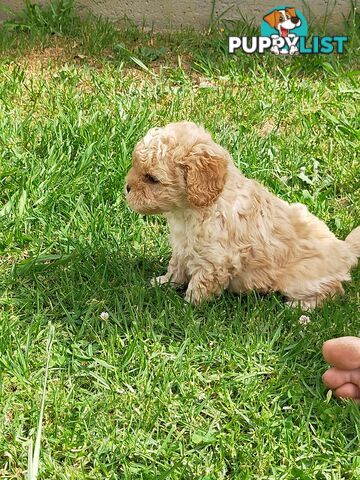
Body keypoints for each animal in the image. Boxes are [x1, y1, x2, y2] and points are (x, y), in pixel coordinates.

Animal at [125, 120, 358, 308]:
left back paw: (300, 308)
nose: (126, 187)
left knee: (334, 289)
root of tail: (345, 249)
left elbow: (200, 285)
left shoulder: (215, 260)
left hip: (300, 278)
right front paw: (163, 283)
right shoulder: (183, 247)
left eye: (152, 179)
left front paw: (187, 308)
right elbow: (176, 267)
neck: (190, 210)